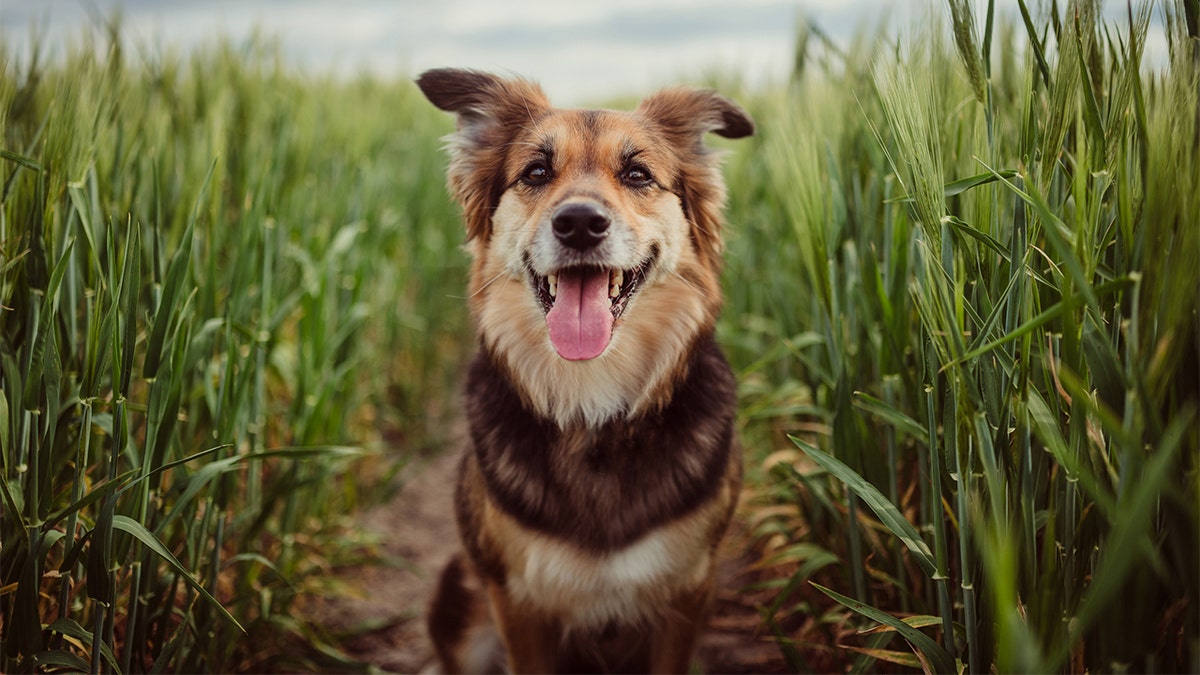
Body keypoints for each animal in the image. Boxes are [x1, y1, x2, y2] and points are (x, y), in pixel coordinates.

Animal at [420, 69, 748, 672]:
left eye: (638, 174)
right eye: (536, 172)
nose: (578, 223)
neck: (591, 403)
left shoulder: (688, 590)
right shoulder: (518, 601)